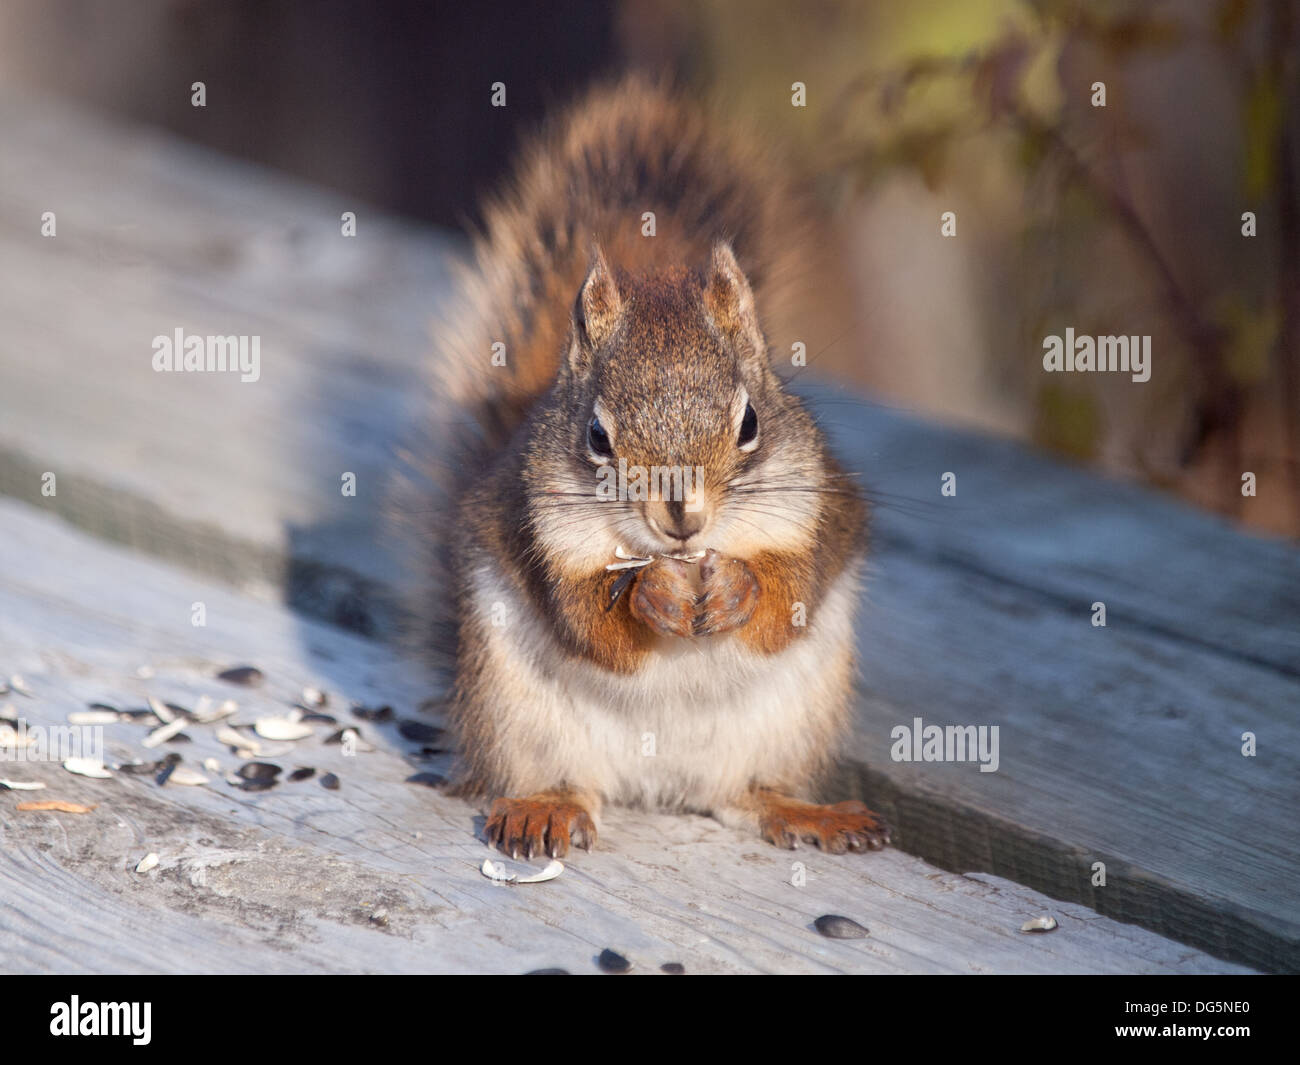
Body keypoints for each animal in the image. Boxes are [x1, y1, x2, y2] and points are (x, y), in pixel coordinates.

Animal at [410, 77, 889, 858]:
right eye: (597, 436)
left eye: (750, 424)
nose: (683, 519)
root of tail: (660, 784)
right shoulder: (538, 534)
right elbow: (588, 619)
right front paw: (652, 596)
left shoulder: (817, 511)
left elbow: (785, 602)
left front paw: (736, 587)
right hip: (518, 712)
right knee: (565, 778)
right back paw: (544, 807)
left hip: (791, 722)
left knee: (746, 794)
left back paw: (808, 812)